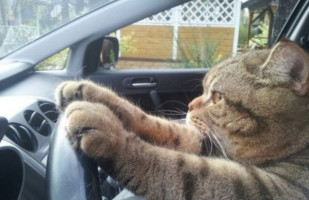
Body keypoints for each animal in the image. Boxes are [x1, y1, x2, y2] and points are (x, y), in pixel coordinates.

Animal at [56, 39, 308, 199]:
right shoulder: (202, 142)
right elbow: (153, 123)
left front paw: (108, 132)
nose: (189, 105)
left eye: (218, 97)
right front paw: (84, 90)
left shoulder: (261, 187)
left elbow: (170, 166)